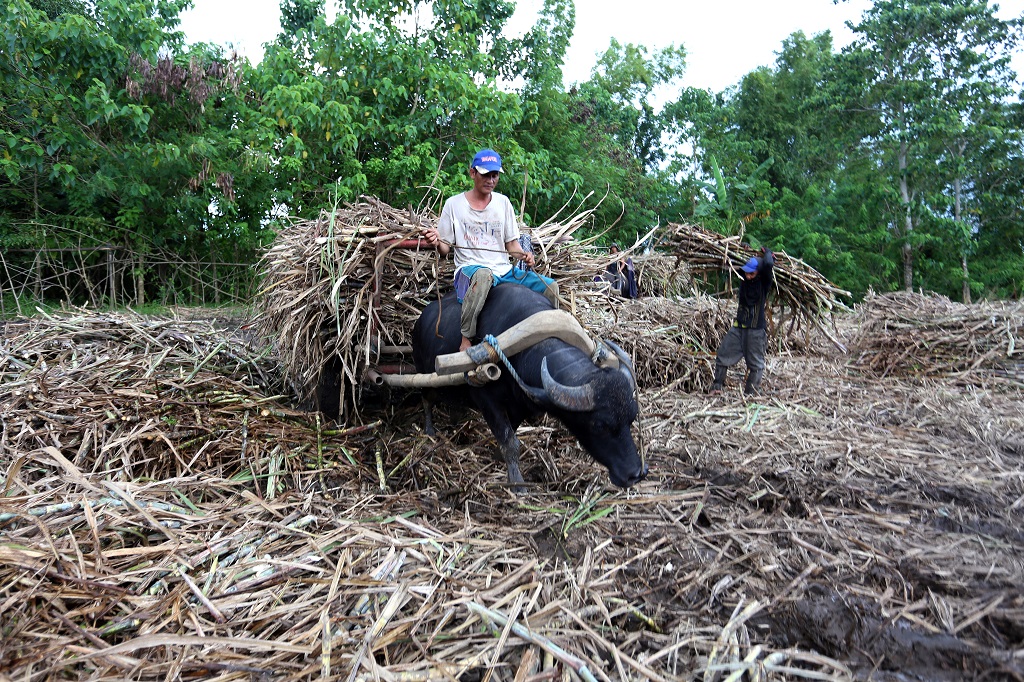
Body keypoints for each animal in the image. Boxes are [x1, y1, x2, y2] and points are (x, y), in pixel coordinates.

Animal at [409, 280, 643, 489]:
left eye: (632, 418)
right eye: (599, 425)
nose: (635, 474)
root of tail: (419, 322)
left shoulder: (520, 404)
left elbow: (510, 434)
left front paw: (498, 456)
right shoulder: (487, 401)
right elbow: (509, 441)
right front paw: (517, 483)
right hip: (425, 374)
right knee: (426, 398)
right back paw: (429, 430)